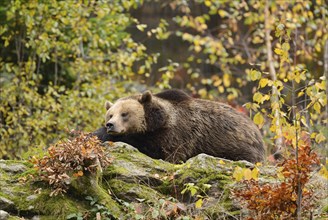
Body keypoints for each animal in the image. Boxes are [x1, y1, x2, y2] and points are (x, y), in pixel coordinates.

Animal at [91, 88, 264, 162]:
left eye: (124, 114)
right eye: (110, 114)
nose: (110, 125)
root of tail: (255, 129)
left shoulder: (178, 134)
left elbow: (173, 154)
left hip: (238, 144)